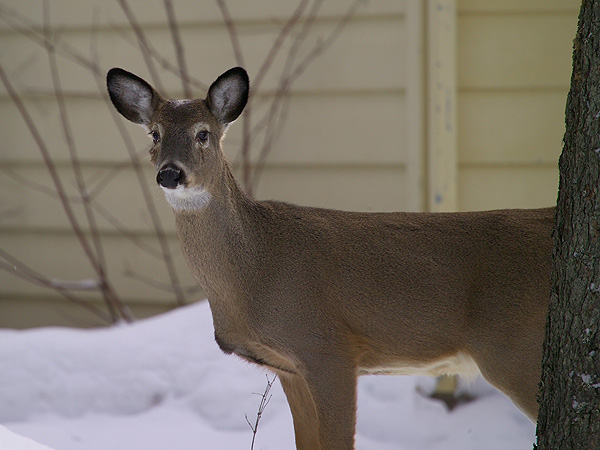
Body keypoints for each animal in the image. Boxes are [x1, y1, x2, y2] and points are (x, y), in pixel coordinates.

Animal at [106, 67, 552, 450]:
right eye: (154, 133)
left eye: (203, 134)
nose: (170, 173)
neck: (254, 271)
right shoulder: (288, 368)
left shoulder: (329, 348)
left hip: (515, 347)